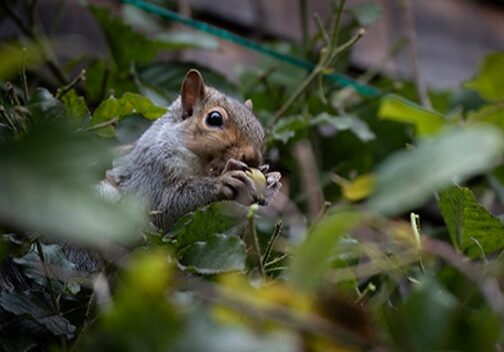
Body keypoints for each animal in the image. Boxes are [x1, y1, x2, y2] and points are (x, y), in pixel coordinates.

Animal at [104, 70, 282, 232]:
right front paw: (225, 180)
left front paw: (271, 180)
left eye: (261, 132)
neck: (201, 164)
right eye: (214, 118)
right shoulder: (153, 167)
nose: (253, 158)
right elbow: (163, 203)